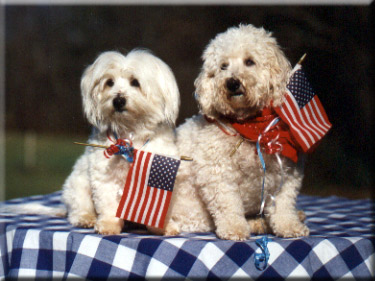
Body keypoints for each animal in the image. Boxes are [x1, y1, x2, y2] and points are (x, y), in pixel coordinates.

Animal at [163, 24, 310, 240]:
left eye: (250, 61)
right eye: (223, 66)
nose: (232, 83)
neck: (250, 125)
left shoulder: (287, 170)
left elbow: (283, 205)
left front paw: (289, 226)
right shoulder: (218, 172)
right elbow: (228, 205)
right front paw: (235, 229)